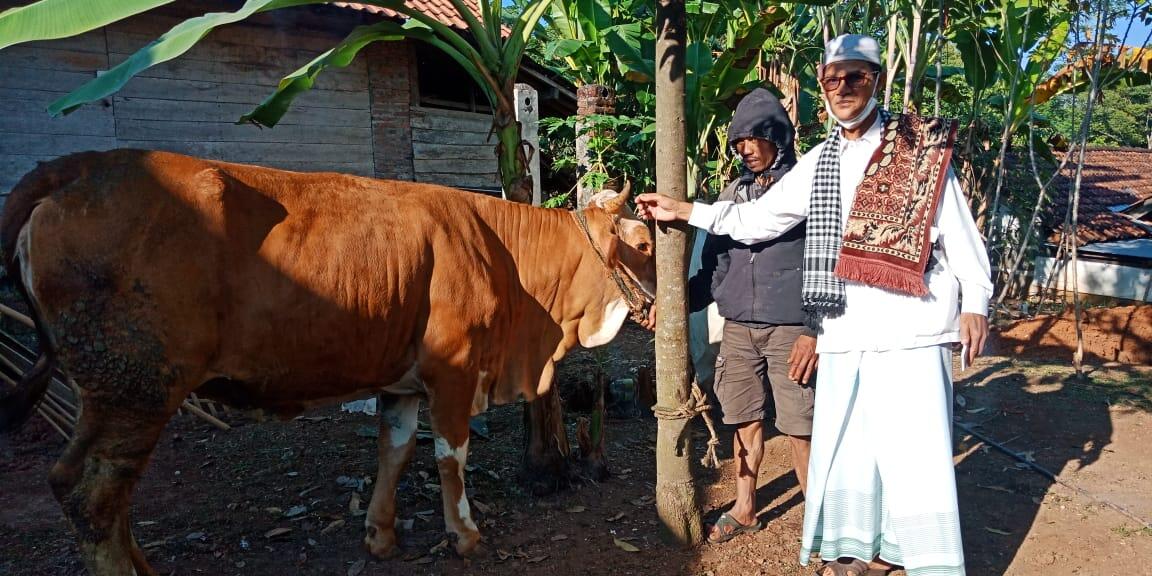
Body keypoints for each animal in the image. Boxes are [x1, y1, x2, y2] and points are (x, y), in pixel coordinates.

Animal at [0, 149, 654, 576]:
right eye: (645, 244)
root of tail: (77, 167)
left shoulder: (402, 379)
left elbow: (394, 451)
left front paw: (381, 536)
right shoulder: (453, 370)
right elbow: (450, 457)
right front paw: (465, 535)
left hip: (125, 393)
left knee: (109, 496)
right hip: (134, 386)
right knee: (89, 493)